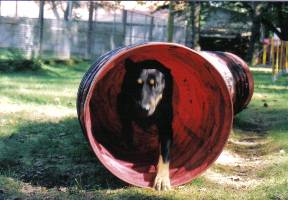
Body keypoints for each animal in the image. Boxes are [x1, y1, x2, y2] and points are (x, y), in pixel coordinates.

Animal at [117, 58, 173, 191]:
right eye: (137, 84)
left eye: (155, 85)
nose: (144, 108)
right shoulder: (125, 106)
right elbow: (127, 128)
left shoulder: (166, 127)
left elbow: (165, 155)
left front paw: (162, 179)